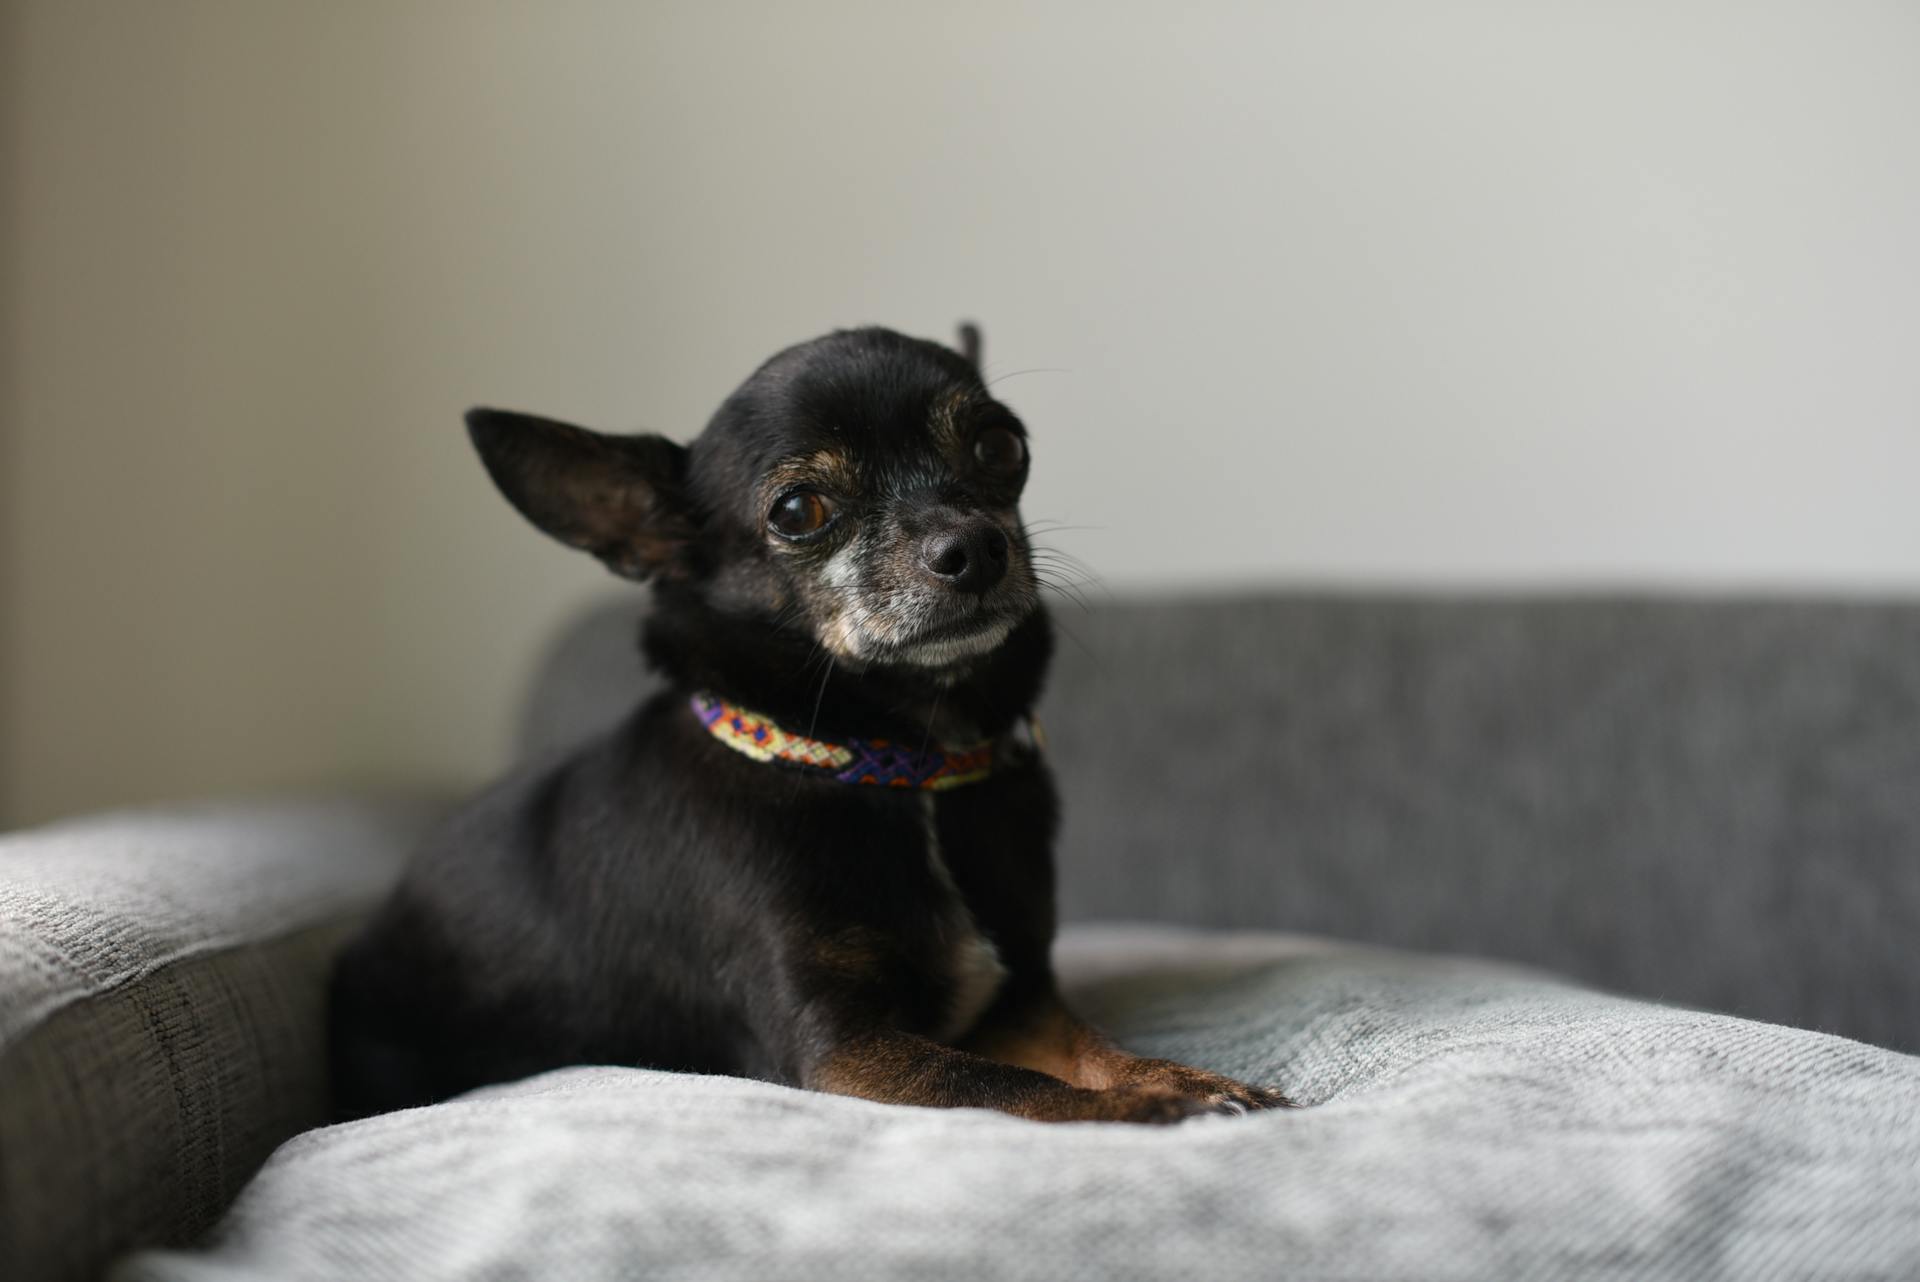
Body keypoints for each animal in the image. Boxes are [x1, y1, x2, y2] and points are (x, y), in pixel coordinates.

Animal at [330, 328, 1290, 1120]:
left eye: (1001, 445)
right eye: (797, 511)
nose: (977, 546)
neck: (897, 763)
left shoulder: (1018, 995)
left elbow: (1086, 1048)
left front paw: (1177, 1077)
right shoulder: (845, 1047)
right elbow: (1006, 1086)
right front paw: (1150, 1108)